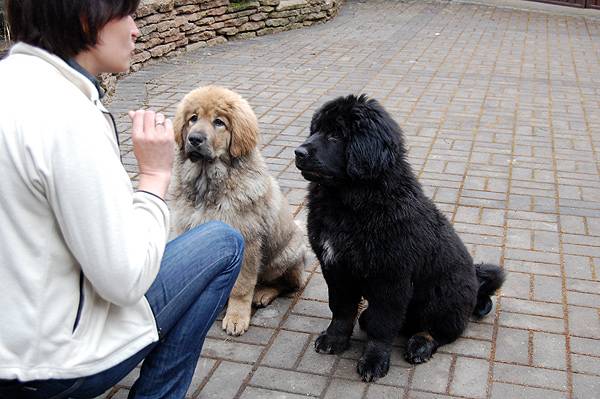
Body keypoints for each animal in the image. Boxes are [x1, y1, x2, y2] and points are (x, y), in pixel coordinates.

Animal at [171, 86, 308, 338]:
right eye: (193, 118)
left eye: (219, 122)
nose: (194, 139)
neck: (208, 183)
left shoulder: (247, 240)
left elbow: (242, 286)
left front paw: (236, 317)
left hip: (284, 256)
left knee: (288, 283)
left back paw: (263, 293)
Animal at [296, 95, 506, 382]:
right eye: (314, 130)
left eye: (336, 135)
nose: (298, 152)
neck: (349, 203)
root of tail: (475, 283)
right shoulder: (336, 268)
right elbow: (341, 309)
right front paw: (334, 340)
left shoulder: (390, 277)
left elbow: (382, 324)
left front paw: (374, 361)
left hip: (444, 296)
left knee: (440, 330)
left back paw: (420, 345)